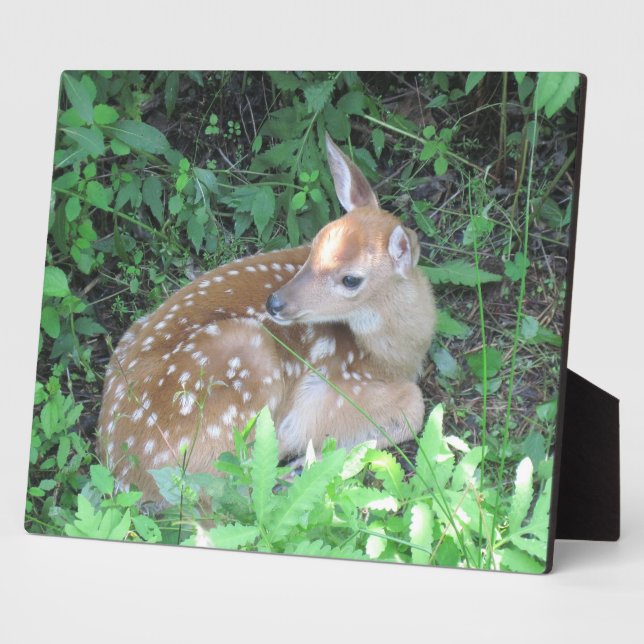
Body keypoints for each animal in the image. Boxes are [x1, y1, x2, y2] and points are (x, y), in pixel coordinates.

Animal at [97, 134, 437, 503]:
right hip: (244, 358)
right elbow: (413, 408)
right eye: (314, 244)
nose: (275, 302)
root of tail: (124, 474)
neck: (393, 356)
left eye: (351, 279)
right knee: (225, 490)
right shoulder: (330, 388)